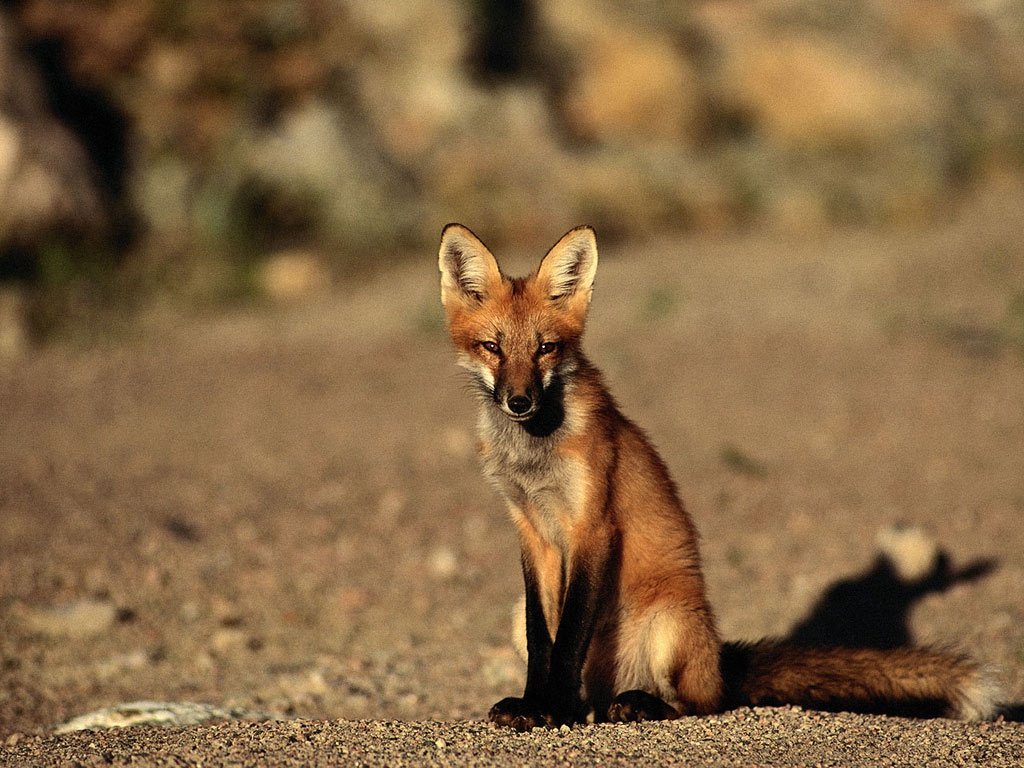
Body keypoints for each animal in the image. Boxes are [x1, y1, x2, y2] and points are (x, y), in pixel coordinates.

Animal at [436, 224, 995, 733]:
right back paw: (591, 707)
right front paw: (534, 706)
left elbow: (569, 635)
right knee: (600, 694)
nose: (519, 402)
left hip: (671, 629)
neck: (535, 456)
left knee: (700, 704)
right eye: (492, 347)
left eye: (546, 348)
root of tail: (720, 666)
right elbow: (542, 638)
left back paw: (634, 705)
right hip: (531, 620)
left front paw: (551, 711)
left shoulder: (592, 527)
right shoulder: (530, 531)